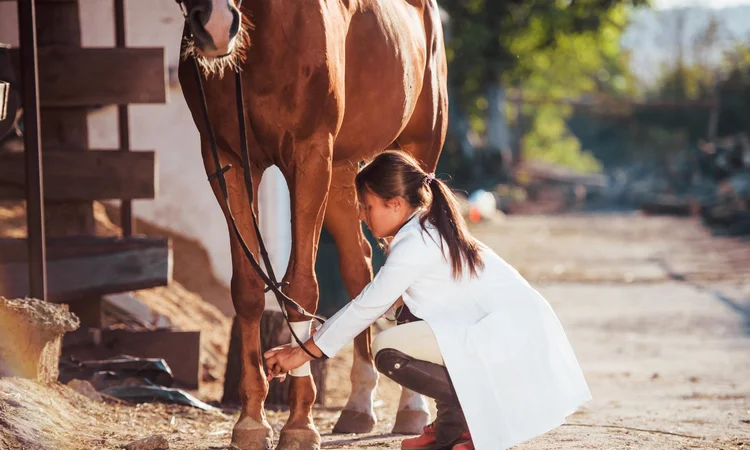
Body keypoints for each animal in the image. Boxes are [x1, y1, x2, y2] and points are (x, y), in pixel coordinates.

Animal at [177, 0, 448, 448]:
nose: (215, 25)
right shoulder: (225, 159)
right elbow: (247, 289)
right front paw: (251, 420)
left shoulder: (310, 154)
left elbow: (300, 287)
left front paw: (300, 422)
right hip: (344, 174)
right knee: (360, 266)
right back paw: (359, 404)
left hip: (414, 149)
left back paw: (412, 406)